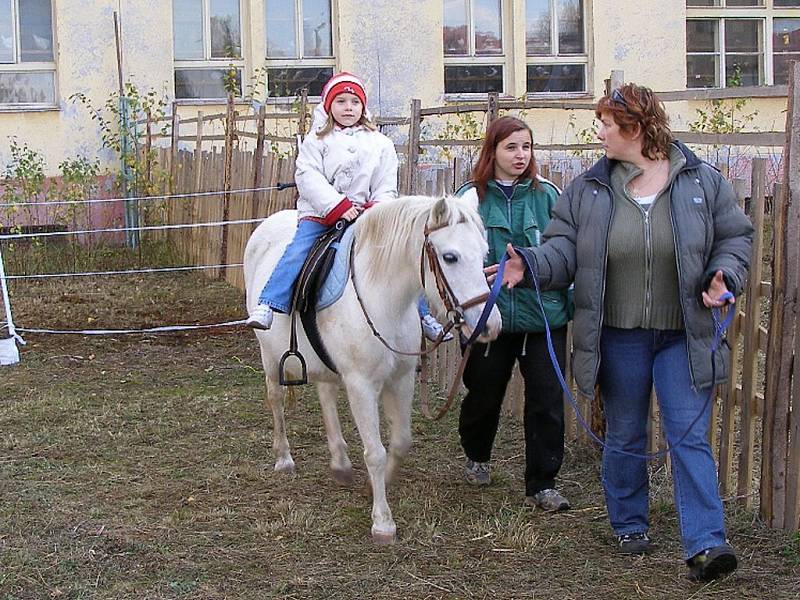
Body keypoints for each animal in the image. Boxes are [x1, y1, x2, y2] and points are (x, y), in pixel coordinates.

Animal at [245, 196, 500, 544]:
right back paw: (284, 458)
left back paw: (340, 463)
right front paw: (382, 522)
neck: (385, 300)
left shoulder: (402, 379)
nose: (490, 324)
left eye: (484, 253)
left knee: (326, 395)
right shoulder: (361, 385)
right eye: (450, 257)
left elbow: (401, 441)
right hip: (270, 358)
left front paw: (374, 487)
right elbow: (375, 453)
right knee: (275, 399)